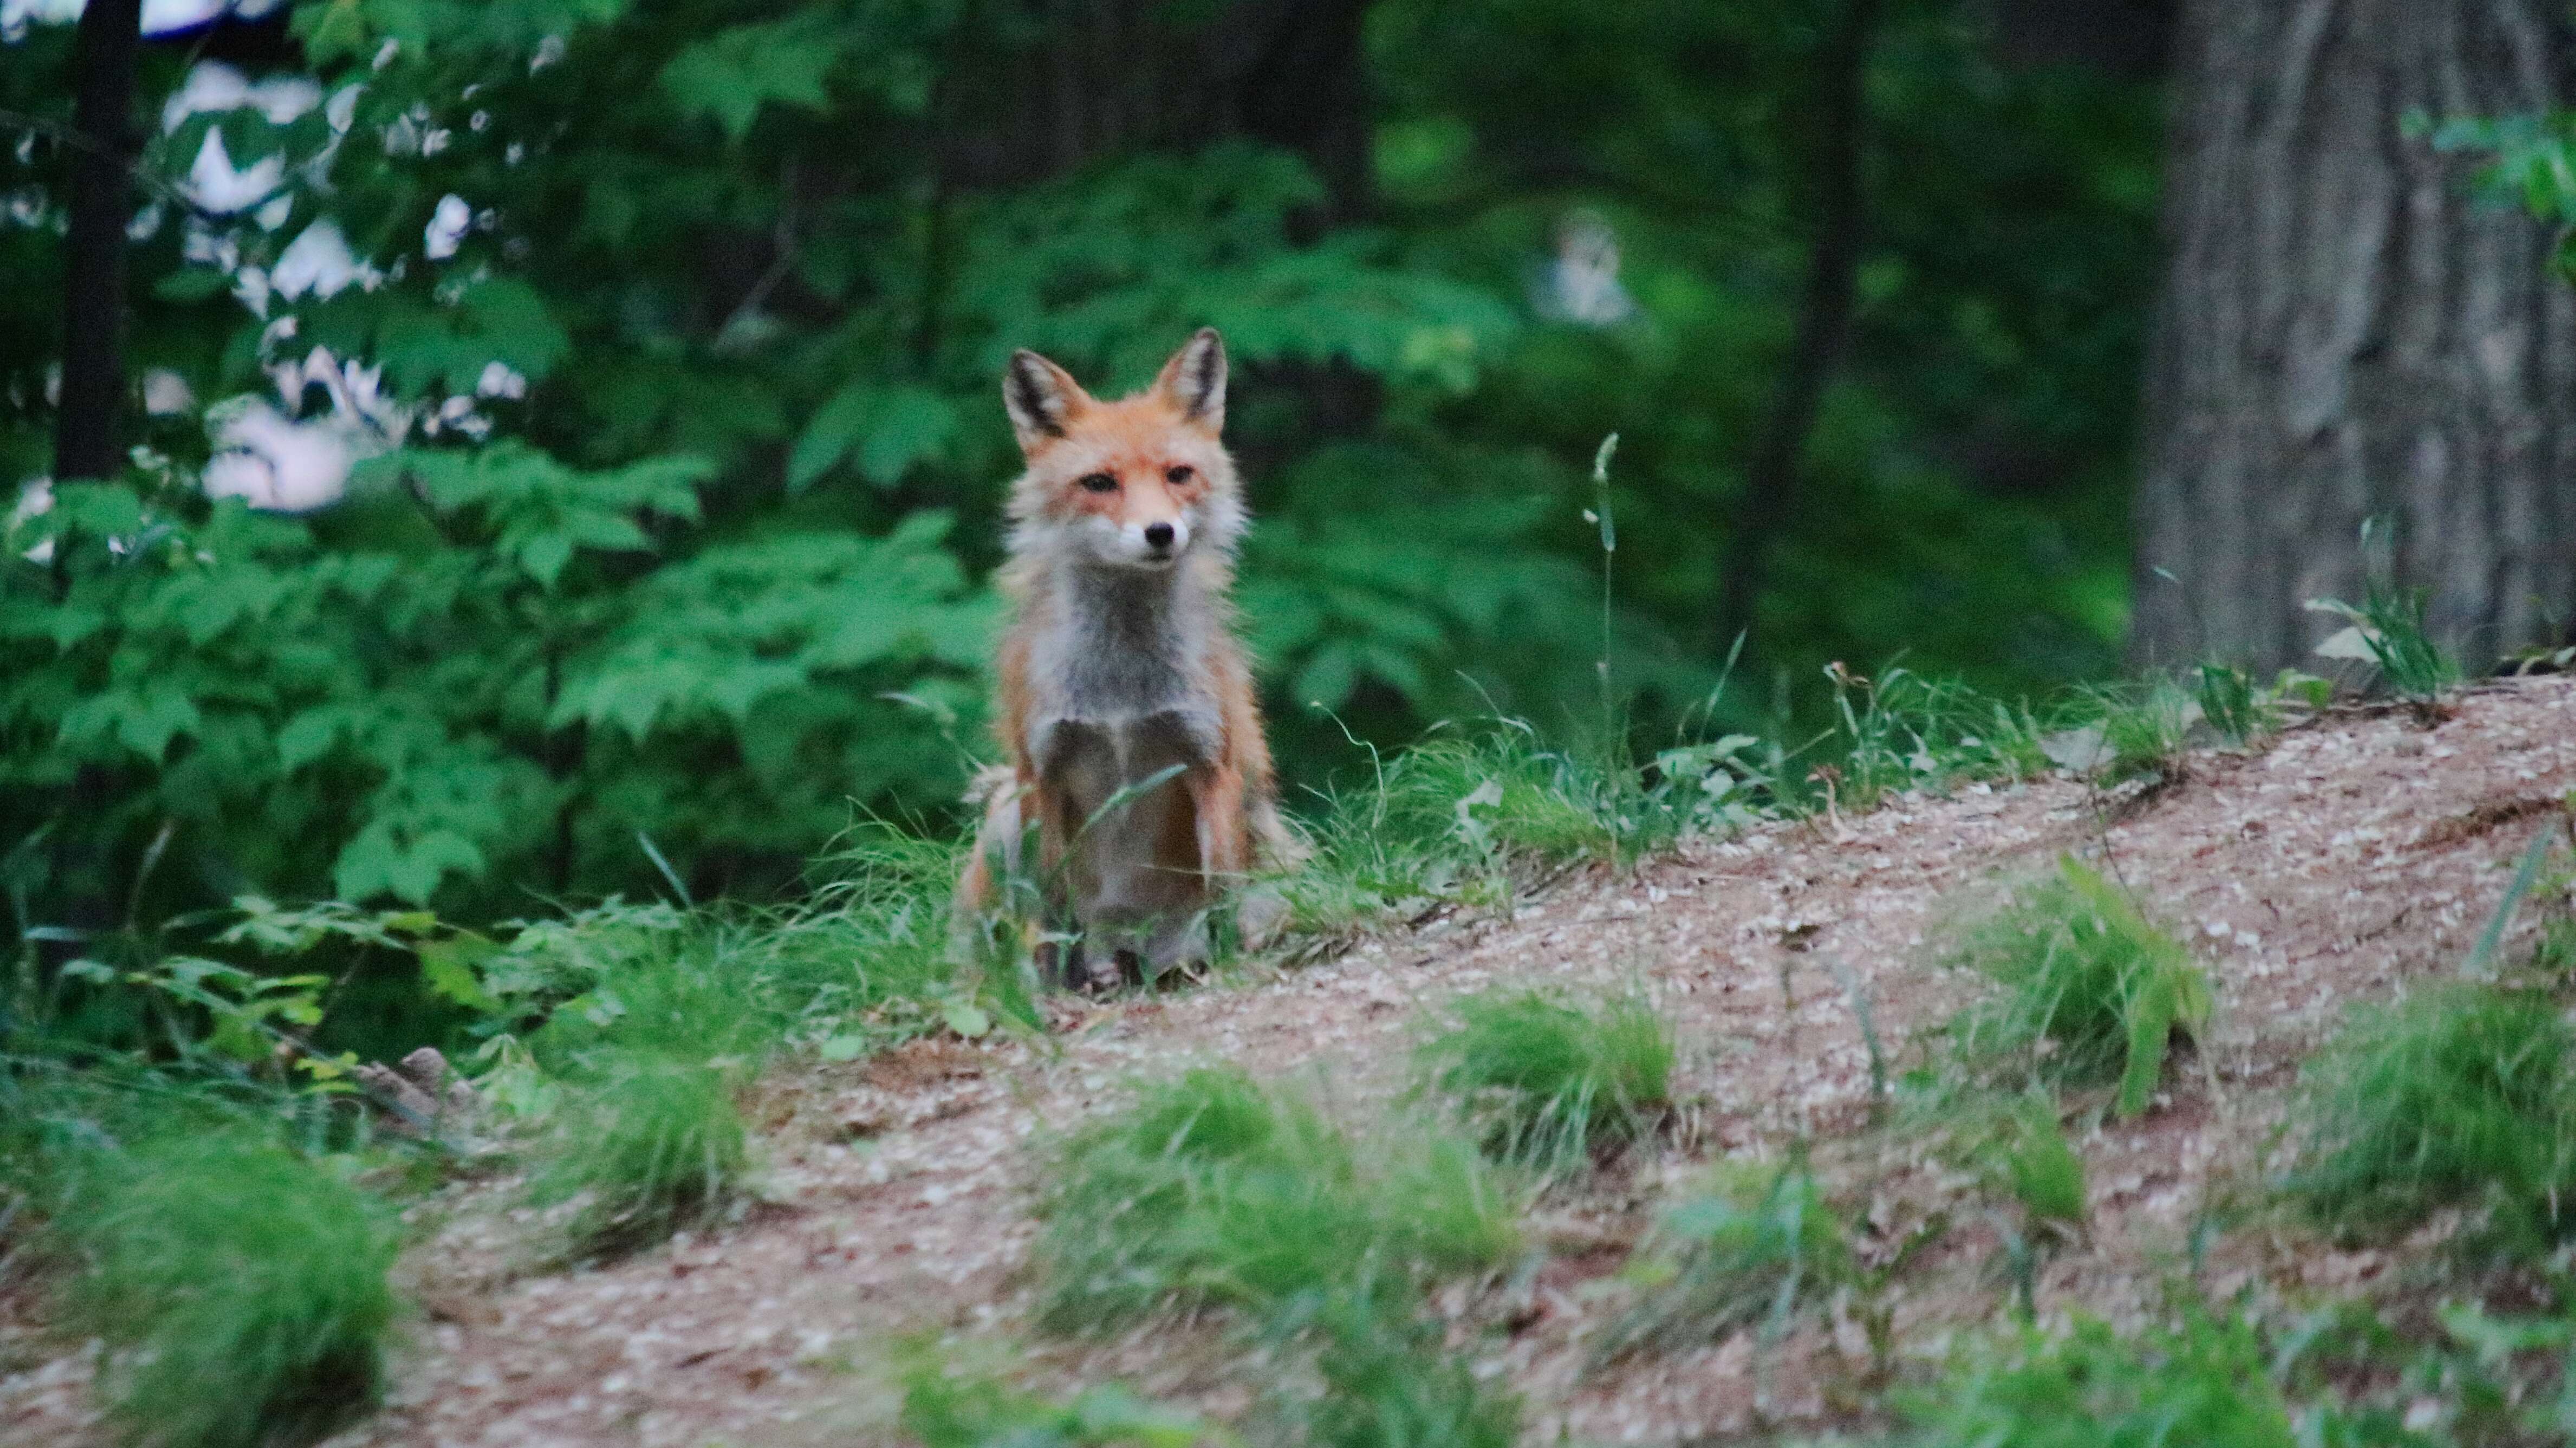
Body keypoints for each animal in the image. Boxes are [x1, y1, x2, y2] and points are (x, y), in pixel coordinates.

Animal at [958, 326, 1298, 979]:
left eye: (1178, 474)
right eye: (1099, 483)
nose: (1160, 532)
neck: (1119, 689)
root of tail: (1129, 942)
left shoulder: (1208, 759)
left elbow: (1222, 888)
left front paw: (1229, 965)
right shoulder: (1044, 770)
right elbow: (1051, 910)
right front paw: (1051, 987)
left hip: (1266, 834)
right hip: (1005, 812)